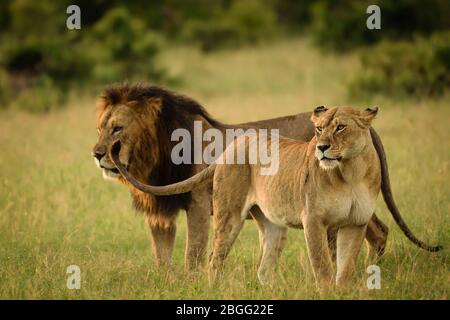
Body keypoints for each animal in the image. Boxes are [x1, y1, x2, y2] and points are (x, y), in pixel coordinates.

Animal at [93, 82, 388, 270]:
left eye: (117, 129)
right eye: (99, 129)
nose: (96, 154)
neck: (156, 155)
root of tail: (366, 125)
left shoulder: (199, 204)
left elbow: (193, 254)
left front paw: (192, 284)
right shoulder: (160, 214)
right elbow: (161, 257)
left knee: (375, 231)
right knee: (378, 230)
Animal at [110, 105, 442, 288]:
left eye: (341, 127)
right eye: (319, 129)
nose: (321, 147)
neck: (350, 171)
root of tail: (232, 147)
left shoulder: (354, 223)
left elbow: (345, 267)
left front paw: (344, 288)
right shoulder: (314, 221)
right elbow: (323, 266)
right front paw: (327, 290)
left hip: (273, 225)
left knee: (264, 268)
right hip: (229, 216)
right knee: (214, 261)